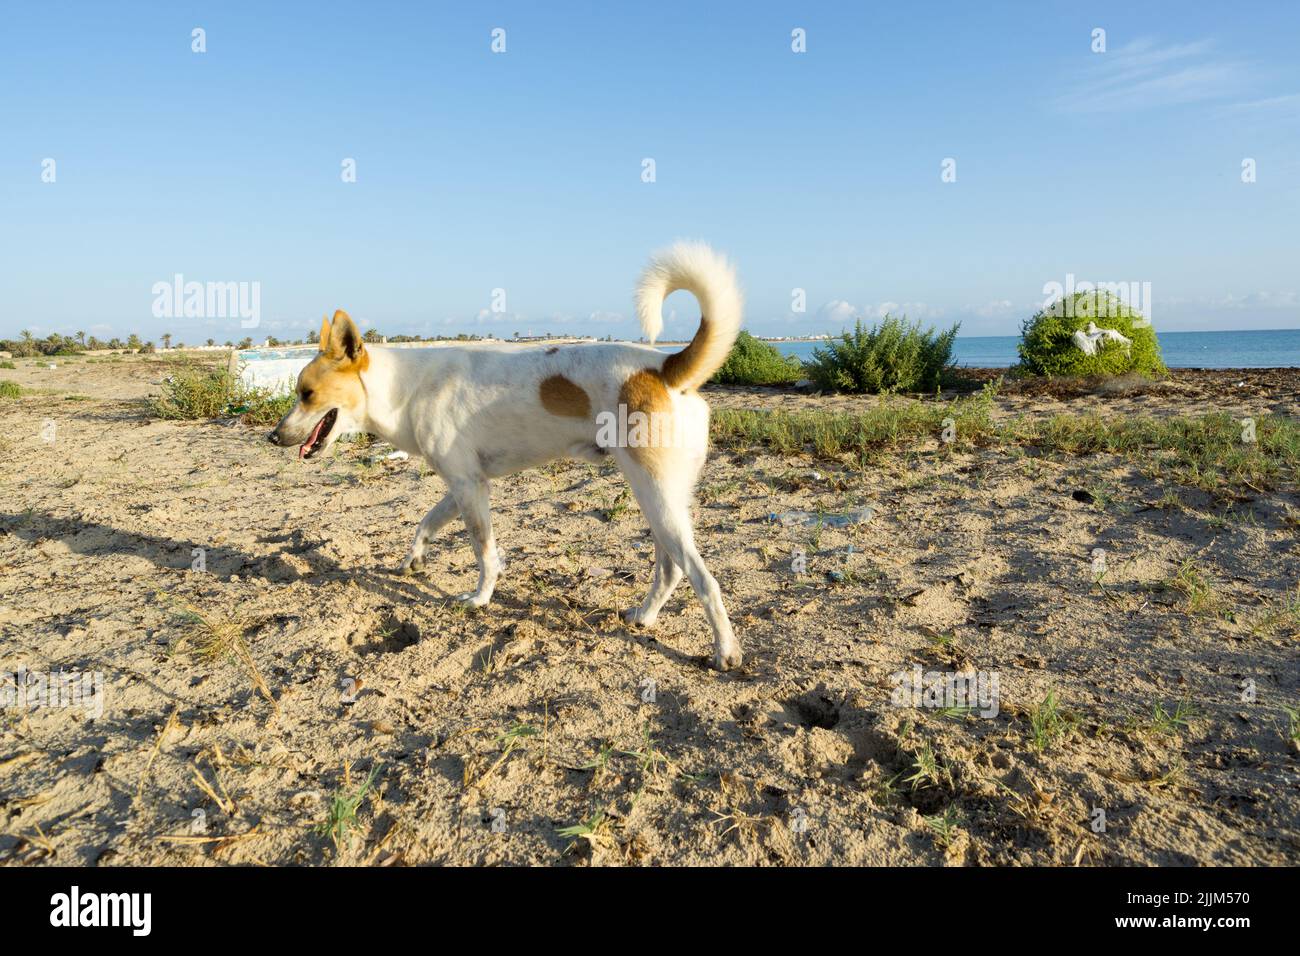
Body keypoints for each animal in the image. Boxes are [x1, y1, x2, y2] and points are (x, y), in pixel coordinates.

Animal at [266, 243, 743, 671]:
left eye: (307, 393)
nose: (273, 436)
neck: (405, 387)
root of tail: (664, 366)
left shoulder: (470, 488)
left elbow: (484, 552)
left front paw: (479, 599)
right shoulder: (465, 482)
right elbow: (426, 522)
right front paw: (414, 560)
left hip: (655, 495)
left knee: (703, 579)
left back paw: (725, 652)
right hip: (661, 499)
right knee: (670, 570)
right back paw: (644, 616)